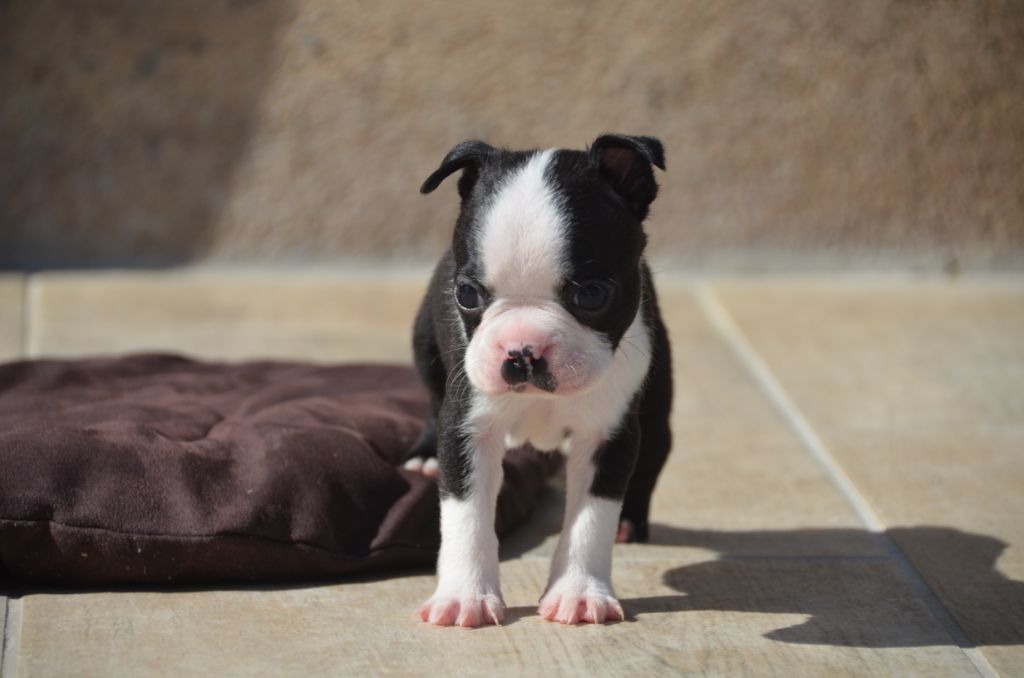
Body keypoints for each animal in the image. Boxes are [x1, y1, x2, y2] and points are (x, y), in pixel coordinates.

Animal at [404, 134, 673, 627]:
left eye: (591, 295)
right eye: (465, 294)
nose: (522, 350)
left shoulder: (608, 434)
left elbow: (590, 519)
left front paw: (579, 593)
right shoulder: (468, 426)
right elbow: (466, 517)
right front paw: (465, 596)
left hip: (657, 405)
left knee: (653, 454)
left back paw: (632, 521)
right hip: (426, 350)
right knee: (431, 402)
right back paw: (424, 457)